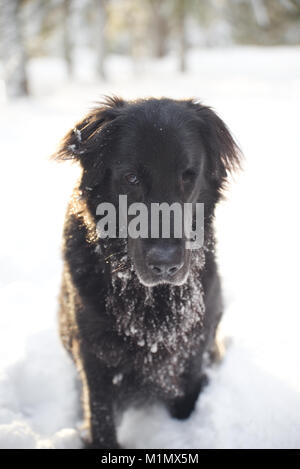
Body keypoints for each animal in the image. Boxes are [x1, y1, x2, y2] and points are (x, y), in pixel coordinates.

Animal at [55, 97, 240, 448]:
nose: (165, 263)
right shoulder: (94, 355)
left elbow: (185, 403)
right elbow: (100, 420)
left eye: (188, 176)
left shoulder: (192, 349)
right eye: (131, 178)